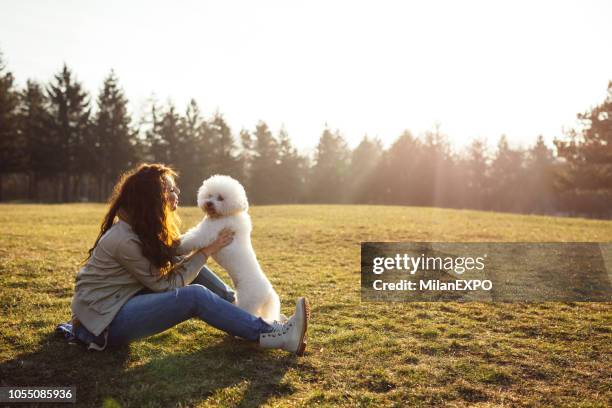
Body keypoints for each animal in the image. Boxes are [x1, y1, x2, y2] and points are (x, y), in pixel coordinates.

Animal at [177, 175, 282, 322]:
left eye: (220, 198)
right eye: (209, 195)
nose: (209, 203)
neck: (227, 214)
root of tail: (268, 292)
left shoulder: (207, 233)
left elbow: (192, 239)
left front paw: (176, 245)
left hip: (247, 302)